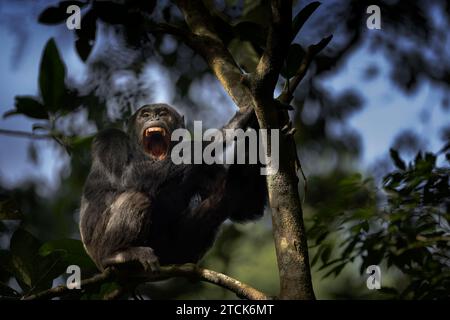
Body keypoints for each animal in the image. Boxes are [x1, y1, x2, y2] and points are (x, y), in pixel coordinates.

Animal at [79, 104, 266, 272]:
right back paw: (117, 254)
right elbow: (128, 175)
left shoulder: (209, 168)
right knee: (137, 197)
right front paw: (229, 128)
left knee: (222, 200)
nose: (154, 117)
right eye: (145, 115)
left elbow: (245, 202)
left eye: (163, 113)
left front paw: (256, 132)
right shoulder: (109, 139)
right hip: (98, 250)